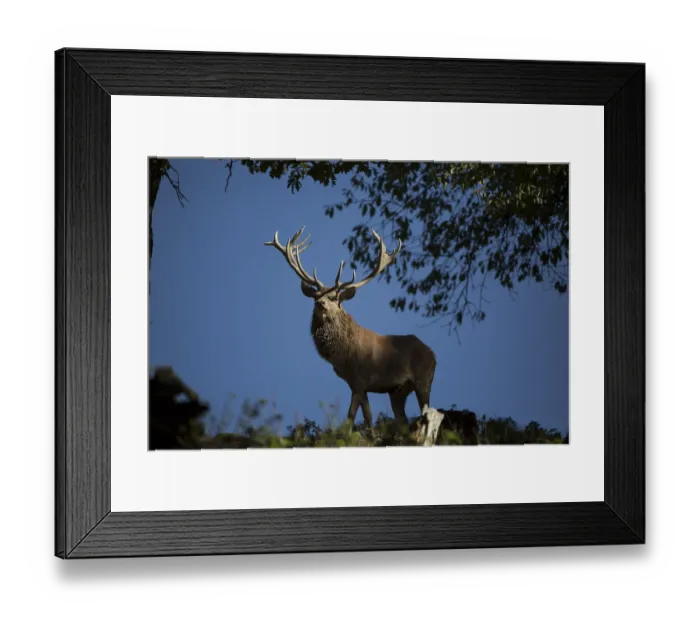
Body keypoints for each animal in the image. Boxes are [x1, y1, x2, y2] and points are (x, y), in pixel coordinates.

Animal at [264, 226, 437, 429]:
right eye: (316, 296)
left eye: (334, 298)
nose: (321, 303)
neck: (344, 355)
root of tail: (433, 354)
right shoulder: (356, 383)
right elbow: (368, 417)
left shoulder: (360, 379)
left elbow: (350, 416)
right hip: (397, 391)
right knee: (401, 418)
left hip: (424, 378)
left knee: (425, 408)